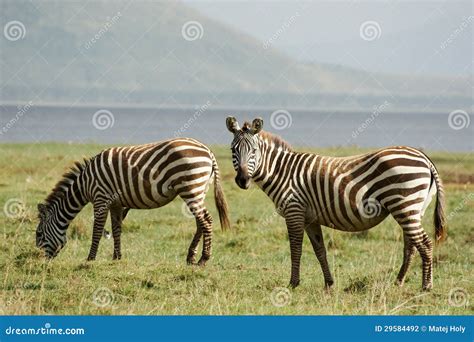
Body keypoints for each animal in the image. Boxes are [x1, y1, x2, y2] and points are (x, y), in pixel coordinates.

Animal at [36, 137, 231, 264]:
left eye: (39, 234)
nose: (41, 260)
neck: (85, 184)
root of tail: (208, 151)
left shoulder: (101, 198)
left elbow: (97, 230)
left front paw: (90, 259)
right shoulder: (115, 203)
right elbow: (116, 229)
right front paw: (117, 257)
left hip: (191, 187)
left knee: (206, 220)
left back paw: (203, 259)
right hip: (199, 189)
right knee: (200, 222)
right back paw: (191, 257)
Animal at [228, 116, 446, 290]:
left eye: (254, 150)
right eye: (233, 150)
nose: (242, 180)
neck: (283, 172)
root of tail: (423, 157)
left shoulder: (294, 211)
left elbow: (295, 249)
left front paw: (292, 284)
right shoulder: (310, 218)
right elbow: (320, 251)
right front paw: (329, 284)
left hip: (405, 206)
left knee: (424, 244)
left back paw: (426, 286)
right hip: (414, 209)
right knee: (411, 245)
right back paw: (399, 282)